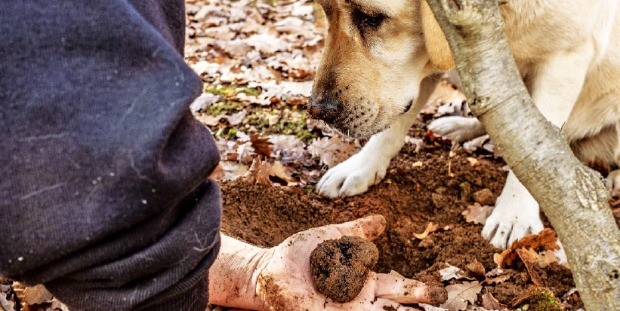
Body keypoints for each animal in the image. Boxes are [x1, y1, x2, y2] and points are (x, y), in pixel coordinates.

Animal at [310, 0, 620, 250]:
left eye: (372, 18)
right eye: (326, 11)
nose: (317, 110)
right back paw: (459, 127)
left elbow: (537, 153)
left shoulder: (565, 57)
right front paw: (361, 167)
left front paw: (513, 214)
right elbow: (392, 129)